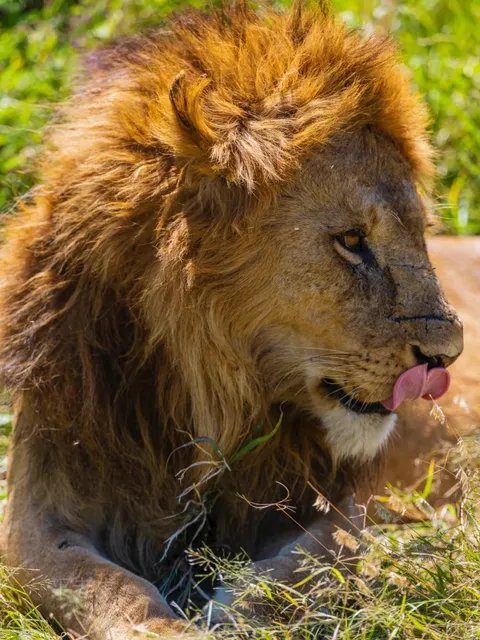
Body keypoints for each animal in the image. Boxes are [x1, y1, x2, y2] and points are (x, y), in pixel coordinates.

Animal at [0, 2, 464, 637]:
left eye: (421, 232)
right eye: (351, 240)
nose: (447, 356)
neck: (212, 391)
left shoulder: (342, 507)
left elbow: (296, 569)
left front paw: (236, 615)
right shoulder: (36, 511)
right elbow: (107, 587)